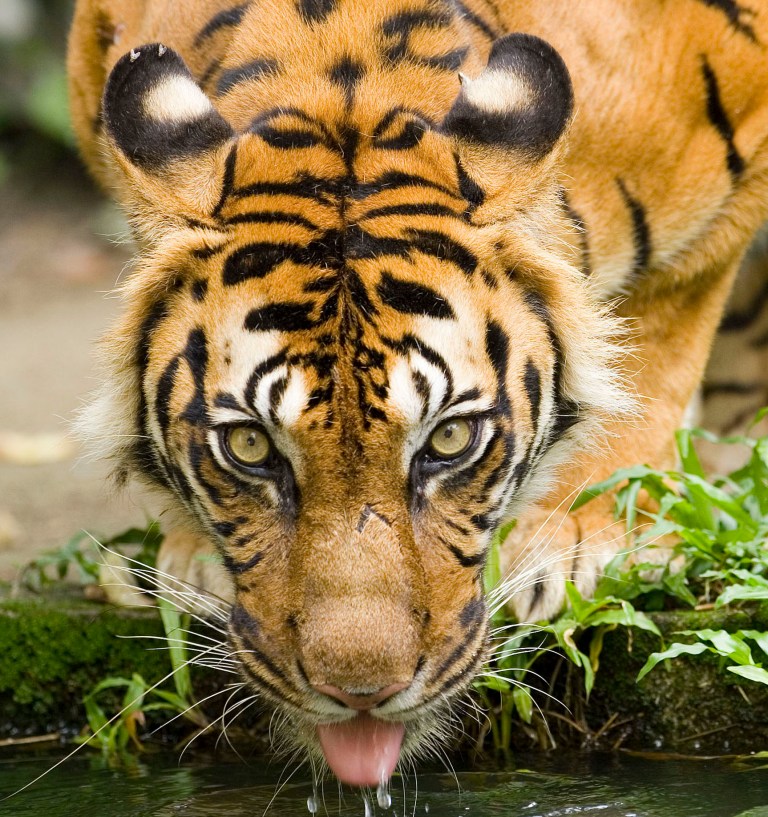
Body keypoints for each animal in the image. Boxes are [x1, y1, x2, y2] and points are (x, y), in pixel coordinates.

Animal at [68, 0, 768, 786]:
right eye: (248, 446)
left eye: (449, 439)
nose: (361, 692)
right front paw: (192, 558)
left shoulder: (725, 190)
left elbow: (653, 352)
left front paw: (585, 536)